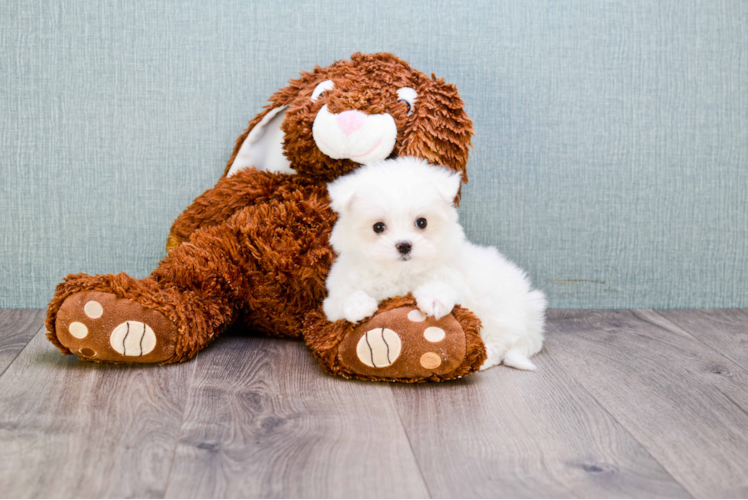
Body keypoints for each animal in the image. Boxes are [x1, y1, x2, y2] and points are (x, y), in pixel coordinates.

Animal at [322, 157, 548, 372]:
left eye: (421, 222)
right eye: (378, 227)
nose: (404, 245)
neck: (402, 273)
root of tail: (532, 317)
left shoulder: (456, 279)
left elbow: (442, 284)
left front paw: (433, 299)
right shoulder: (333, 298)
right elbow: (345, 297)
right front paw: (358, 305)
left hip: (499, 314)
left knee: (498, 343)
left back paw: (483, 360)